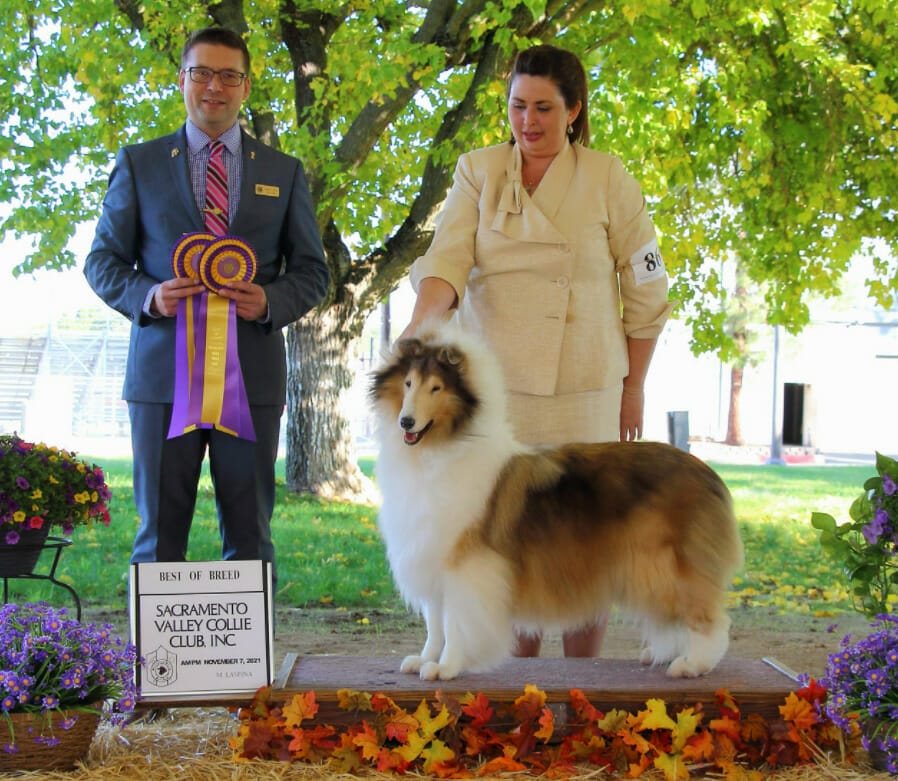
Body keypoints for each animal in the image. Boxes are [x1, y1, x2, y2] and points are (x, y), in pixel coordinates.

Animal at [370, 320, 744, 680]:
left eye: (436, 388)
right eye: (408, 383)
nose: (406, 422)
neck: (438, 451)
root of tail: (708, 473)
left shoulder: (465, 566)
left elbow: (456, 624)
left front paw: (446, 668)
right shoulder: (431, 556)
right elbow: (435, 623)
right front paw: (424, 660)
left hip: (670, 566)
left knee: (711, 619)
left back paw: (693, 664)